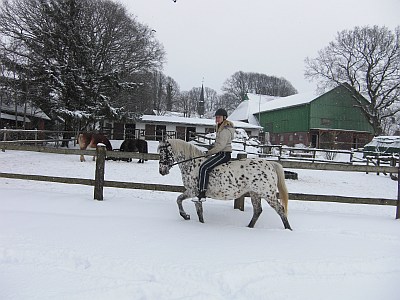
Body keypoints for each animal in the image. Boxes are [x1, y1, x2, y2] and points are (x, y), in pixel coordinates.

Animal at [158, 139, 292, 230]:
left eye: (163, 153)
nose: (162, 171)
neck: (192, 164)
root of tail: (270, 164)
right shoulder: (194, 194)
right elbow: (191, 207)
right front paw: (190, 218)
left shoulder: (193, 192)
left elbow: (183, 202)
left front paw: (188, 217)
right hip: (255, 193)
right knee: (257, 210)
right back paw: (249, 227)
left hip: (267, 194)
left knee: (280, 209)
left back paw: (288, 229)